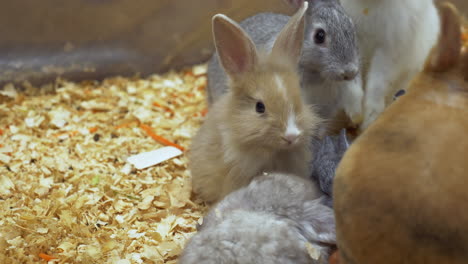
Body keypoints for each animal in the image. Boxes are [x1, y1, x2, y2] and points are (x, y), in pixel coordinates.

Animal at [340, 0, 438, 129]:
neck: (370, 4)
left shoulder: (388, 50)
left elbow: (377, 84)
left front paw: (370, 119)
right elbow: (352, 83)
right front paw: (355, 113)